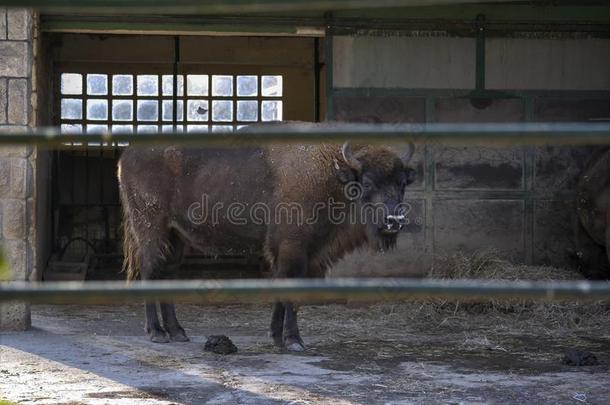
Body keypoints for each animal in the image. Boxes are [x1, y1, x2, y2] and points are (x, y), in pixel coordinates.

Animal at [117, 120, 416, 350]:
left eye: (402, 184)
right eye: (367, 183)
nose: (394, 220)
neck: (332, 175)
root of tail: (126, 155)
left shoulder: (296, 252)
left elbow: (281, 288)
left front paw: (276, 337)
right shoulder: (293, 248)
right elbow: (290, 290)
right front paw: (294, 341)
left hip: (175, 236)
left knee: (166, 273)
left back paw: (177, 332)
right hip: (152, 229)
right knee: (149, 269)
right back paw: (157, 333)